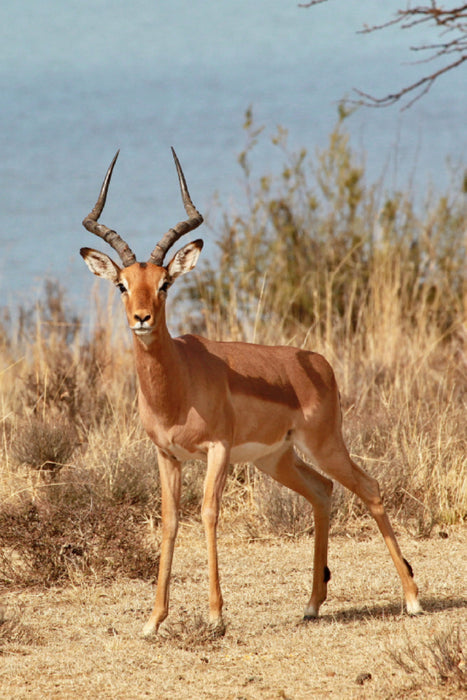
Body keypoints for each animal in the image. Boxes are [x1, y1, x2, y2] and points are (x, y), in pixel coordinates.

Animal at [80, 149, 422, 636]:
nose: (142, 318)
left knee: (370, 488)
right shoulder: (166, 455)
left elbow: (208, 513)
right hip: (276, 458)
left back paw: (412, 599)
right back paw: (312, 604)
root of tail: (318, 362)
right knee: (321, 491)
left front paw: (215, 615)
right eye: (121, 284)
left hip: (324, 445)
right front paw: (153, 620)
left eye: (165, 283)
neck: (177, 385)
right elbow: (169, 522)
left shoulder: (218, 449)